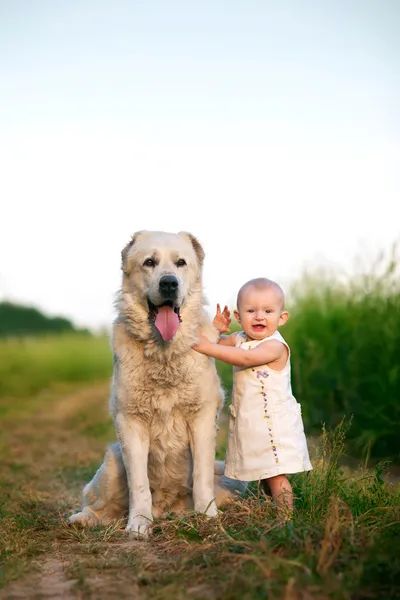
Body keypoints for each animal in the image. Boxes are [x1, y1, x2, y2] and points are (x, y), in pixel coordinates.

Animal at [68, 231, 244, 540]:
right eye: (149, 262)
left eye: (181, 263)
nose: (169, 283)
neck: (164, 355)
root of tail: (165, 509)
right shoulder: (131, 420)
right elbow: (138, 484)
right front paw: (138, 524)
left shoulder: (201, 417)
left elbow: (200, 475)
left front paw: (208, 518)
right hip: (112, 462)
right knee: (99, 506)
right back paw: (82, 519)